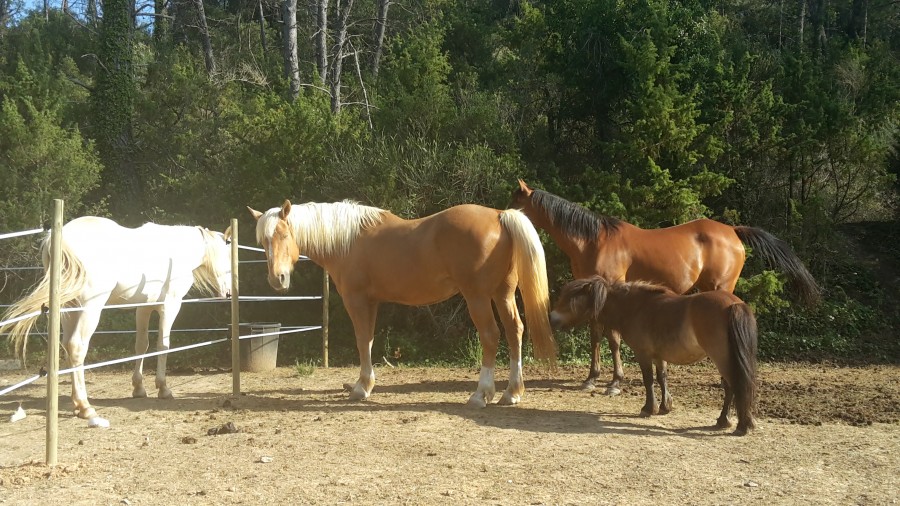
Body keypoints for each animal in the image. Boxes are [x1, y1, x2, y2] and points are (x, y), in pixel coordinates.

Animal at [1, 216, 233, 427]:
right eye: (228, 259)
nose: (229, 293)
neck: (176, 254)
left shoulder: (143, 308)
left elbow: (142, 345)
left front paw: (139, 388)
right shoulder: (170, 306)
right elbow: (163, 346)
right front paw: (163, 388)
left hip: (68, 309)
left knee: (67, 348)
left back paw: (76, 404)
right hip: (89, 308)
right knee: (76, 347)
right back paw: (85, 407)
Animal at [247, 200, 556, 407]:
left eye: (284, 234)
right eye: (263, 241)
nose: (277, 279)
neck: (347, 241)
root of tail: (499, 215)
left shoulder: (356, 300)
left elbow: (361, 340)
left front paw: (361, 388)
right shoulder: (371, 302)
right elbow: (369, 340)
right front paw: (366, 384)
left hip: (477, 297)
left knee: (491, 335)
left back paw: (481, 394)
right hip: (502, 294)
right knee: (515, 331)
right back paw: (512, 393)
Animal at [510, 179, 816, 394]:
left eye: (516, 202)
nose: (504, 218)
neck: (594, 241)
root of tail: (733, 230)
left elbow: (613, 337)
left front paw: (615, 383)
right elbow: (596, 335)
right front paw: (591, 379)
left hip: (722, 287)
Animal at [550, 277, 758, 435]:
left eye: (569, 300)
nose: (551, 318)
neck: (636, 308)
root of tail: (734, 304)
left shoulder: (643, 354)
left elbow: (648, 380)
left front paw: (649, 408)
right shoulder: (659, 356)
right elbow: (662, 378)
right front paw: (665, 406)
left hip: (721, 358)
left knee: (734, 386)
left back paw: (740, 425)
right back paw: (725, 421)